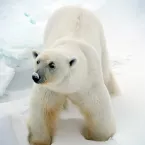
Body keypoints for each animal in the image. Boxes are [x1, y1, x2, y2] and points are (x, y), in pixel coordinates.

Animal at [27, 5, 120, 145]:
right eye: (38, 61)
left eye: (52, 65)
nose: (36, 76)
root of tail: (77, 6)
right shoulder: (51, 89)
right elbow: (42, 109)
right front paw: (39, 140)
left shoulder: (89, 83)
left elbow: (98, 109)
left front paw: (98, 137)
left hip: (101, 38)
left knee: (106, 71)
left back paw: (114, 92)